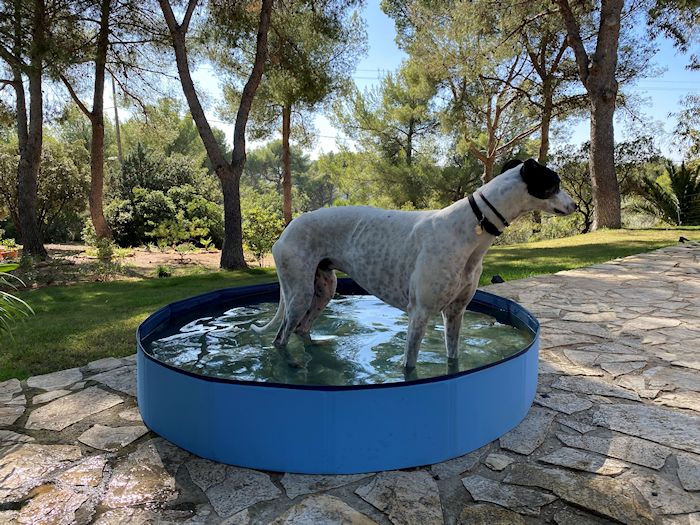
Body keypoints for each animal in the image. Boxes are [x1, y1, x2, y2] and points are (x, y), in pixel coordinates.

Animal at [252, 158, 577, 370]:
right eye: (554, 183)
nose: (575, 205)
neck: (471, 226)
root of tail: (285, 232)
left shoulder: (455, 312)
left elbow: (453, 359)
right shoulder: (419, 313)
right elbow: (409, 366)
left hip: (324, 288)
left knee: (301, 328)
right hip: (299, 293)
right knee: (281, 337)